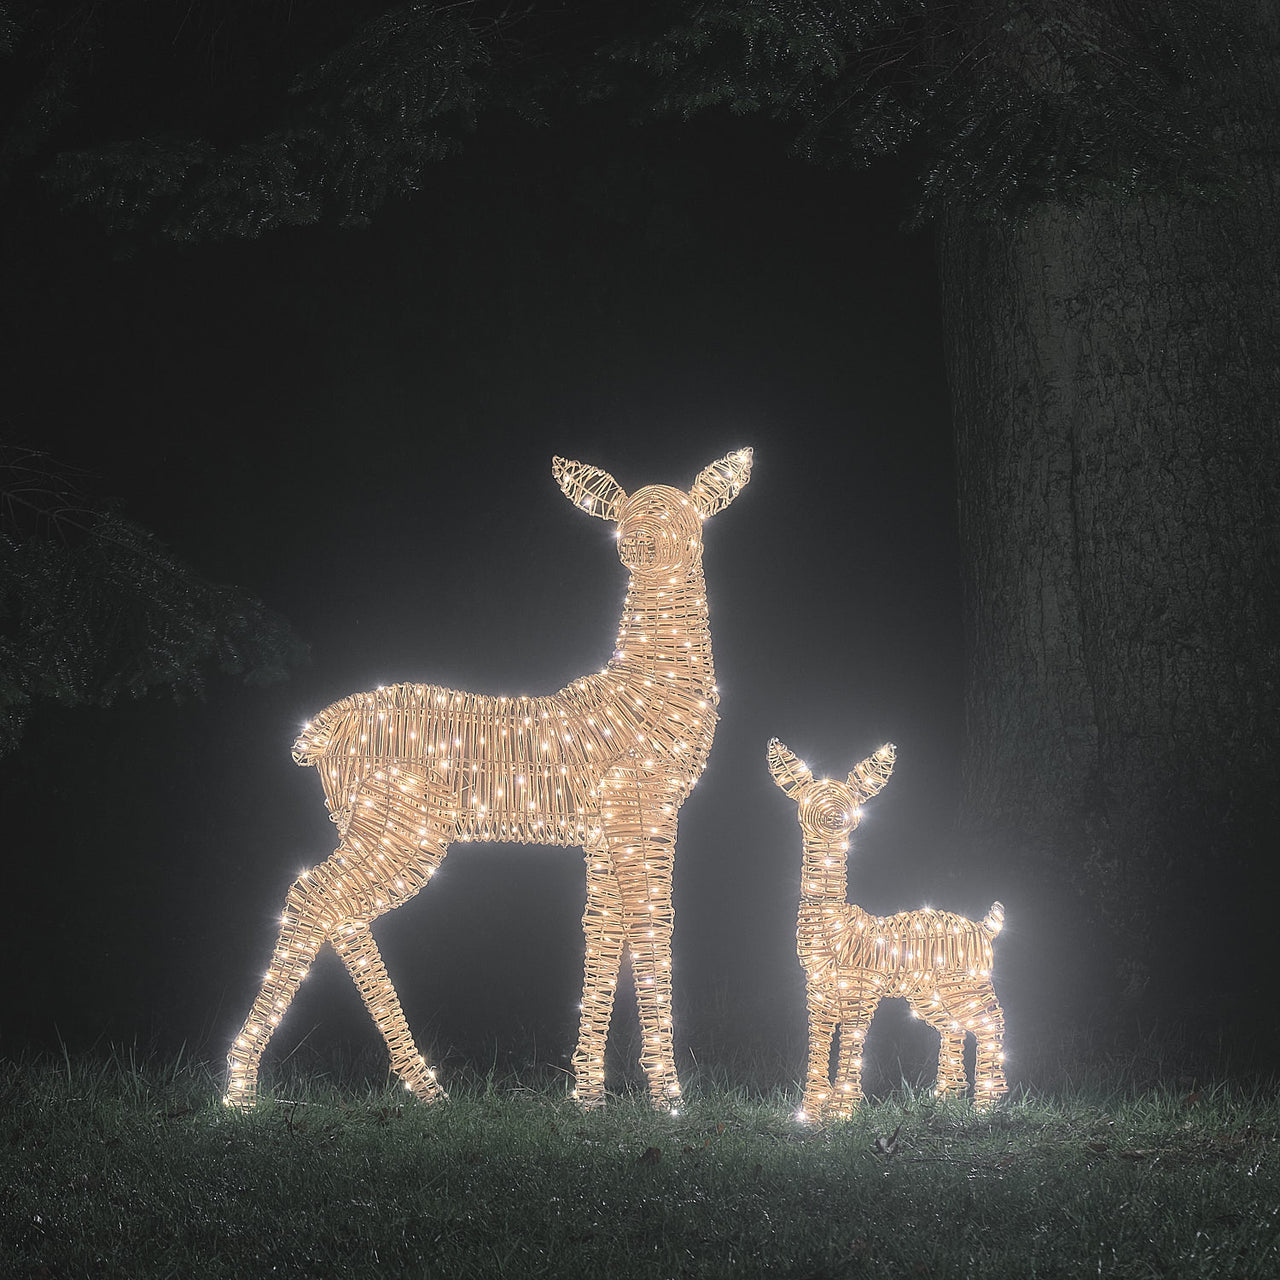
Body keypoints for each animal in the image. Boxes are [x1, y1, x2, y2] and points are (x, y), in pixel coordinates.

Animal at [224, 449, 752, 1112]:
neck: (647, 688)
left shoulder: (605, 830)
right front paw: (668, 1099)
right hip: (403, 826)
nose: (642, 544)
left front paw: (587, 1096)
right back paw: (240, 1089)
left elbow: (604, 930)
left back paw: (426, 1088)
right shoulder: (644, 807)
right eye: (624, 521)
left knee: (340, 913)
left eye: (686, 518)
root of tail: (318, 731)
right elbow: (652, 924)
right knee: (315, 896)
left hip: (364, 823)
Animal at [767, 739, 1006, 1121]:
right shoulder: (818, 990)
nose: (835, 816)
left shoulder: (860, 989)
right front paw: (809, 1113)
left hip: (968, 983)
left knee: (991, 1024)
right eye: (807, 800)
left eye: (852, 802)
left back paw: (986, 1106)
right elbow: (818, 1041)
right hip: (929, 994)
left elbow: (852, 1041)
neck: (834, 926)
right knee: (954, 1027)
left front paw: (841, 1112)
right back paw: (945, 1100)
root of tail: (985, 927)